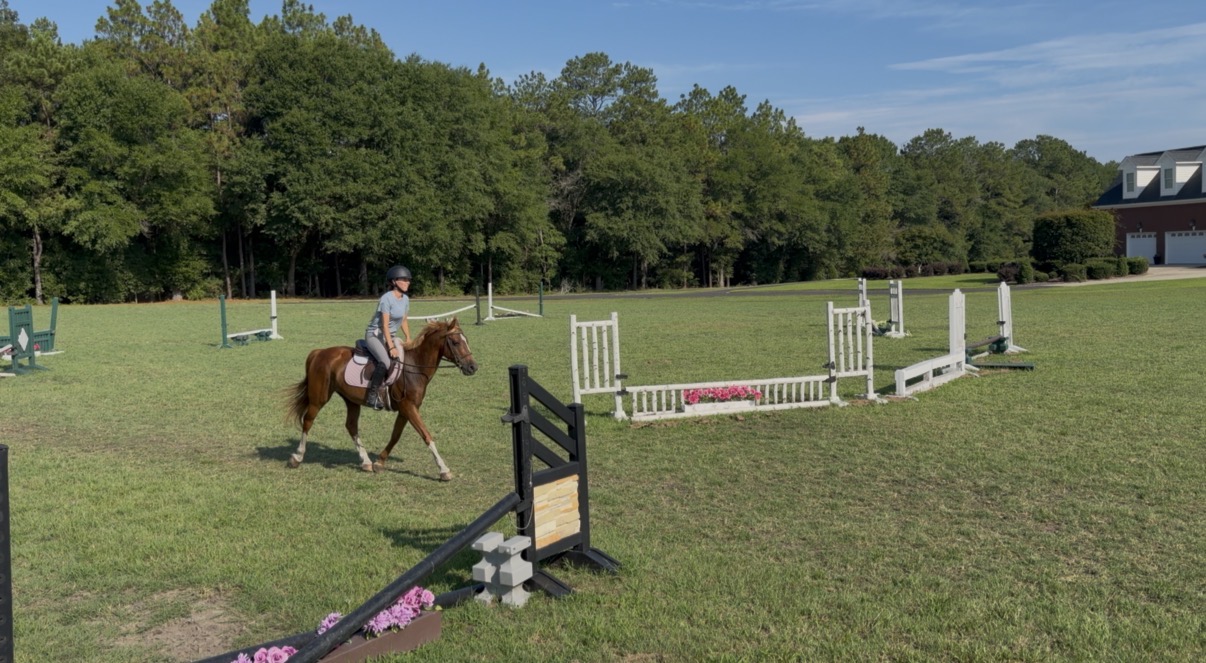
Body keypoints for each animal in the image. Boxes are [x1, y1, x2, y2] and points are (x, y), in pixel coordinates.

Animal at [285, 318, 478, 481]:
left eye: (466, 340)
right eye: (456, 342)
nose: (472, 367)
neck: (415, 366)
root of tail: (319, 353)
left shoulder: (406, 410)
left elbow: (395, 436)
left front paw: (379, 462)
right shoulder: (409, 407)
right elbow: (426, 435)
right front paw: (444, 470)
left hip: (351, 400)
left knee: (351, 426)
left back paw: (366, 462)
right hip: (319, 398)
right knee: (308, 421)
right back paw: (297, 457)